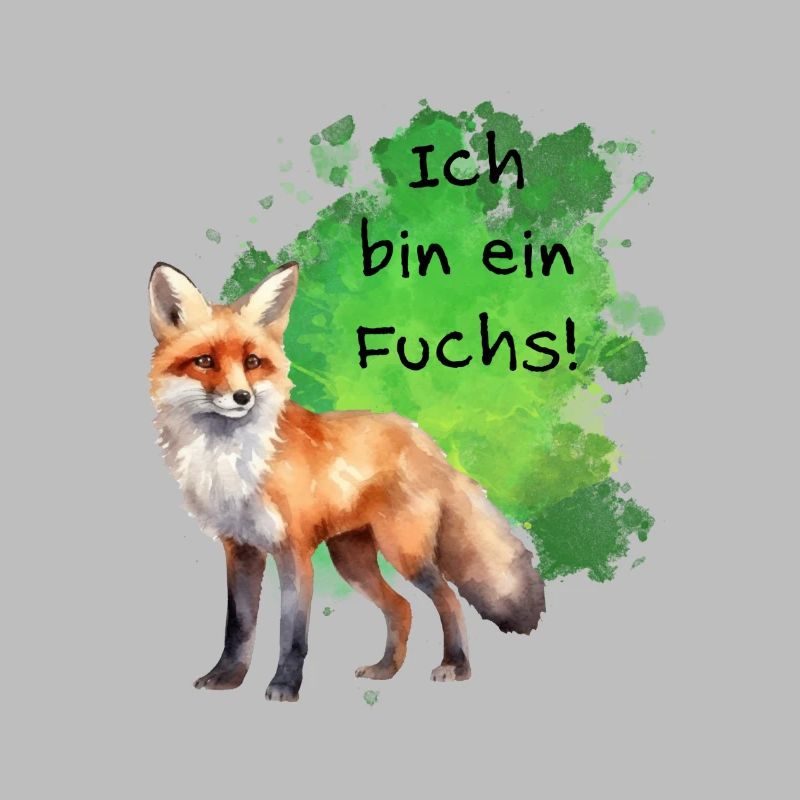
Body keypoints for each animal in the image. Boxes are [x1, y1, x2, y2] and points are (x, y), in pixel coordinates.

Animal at [148, 260, 545, 702]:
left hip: (403, 553)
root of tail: (424, 440)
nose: (241, 398)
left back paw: (455, 666)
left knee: (448, 599)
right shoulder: (241, 550)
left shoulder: (294, 552)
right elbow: (238, 626)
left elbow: (292, 634)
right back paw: (386, 669)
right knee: (402, 607)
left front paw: (285, 686)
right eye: (204, 361)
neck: (231, 460)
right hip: (352, 561)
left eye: (252, 362)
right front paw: (227, 677)